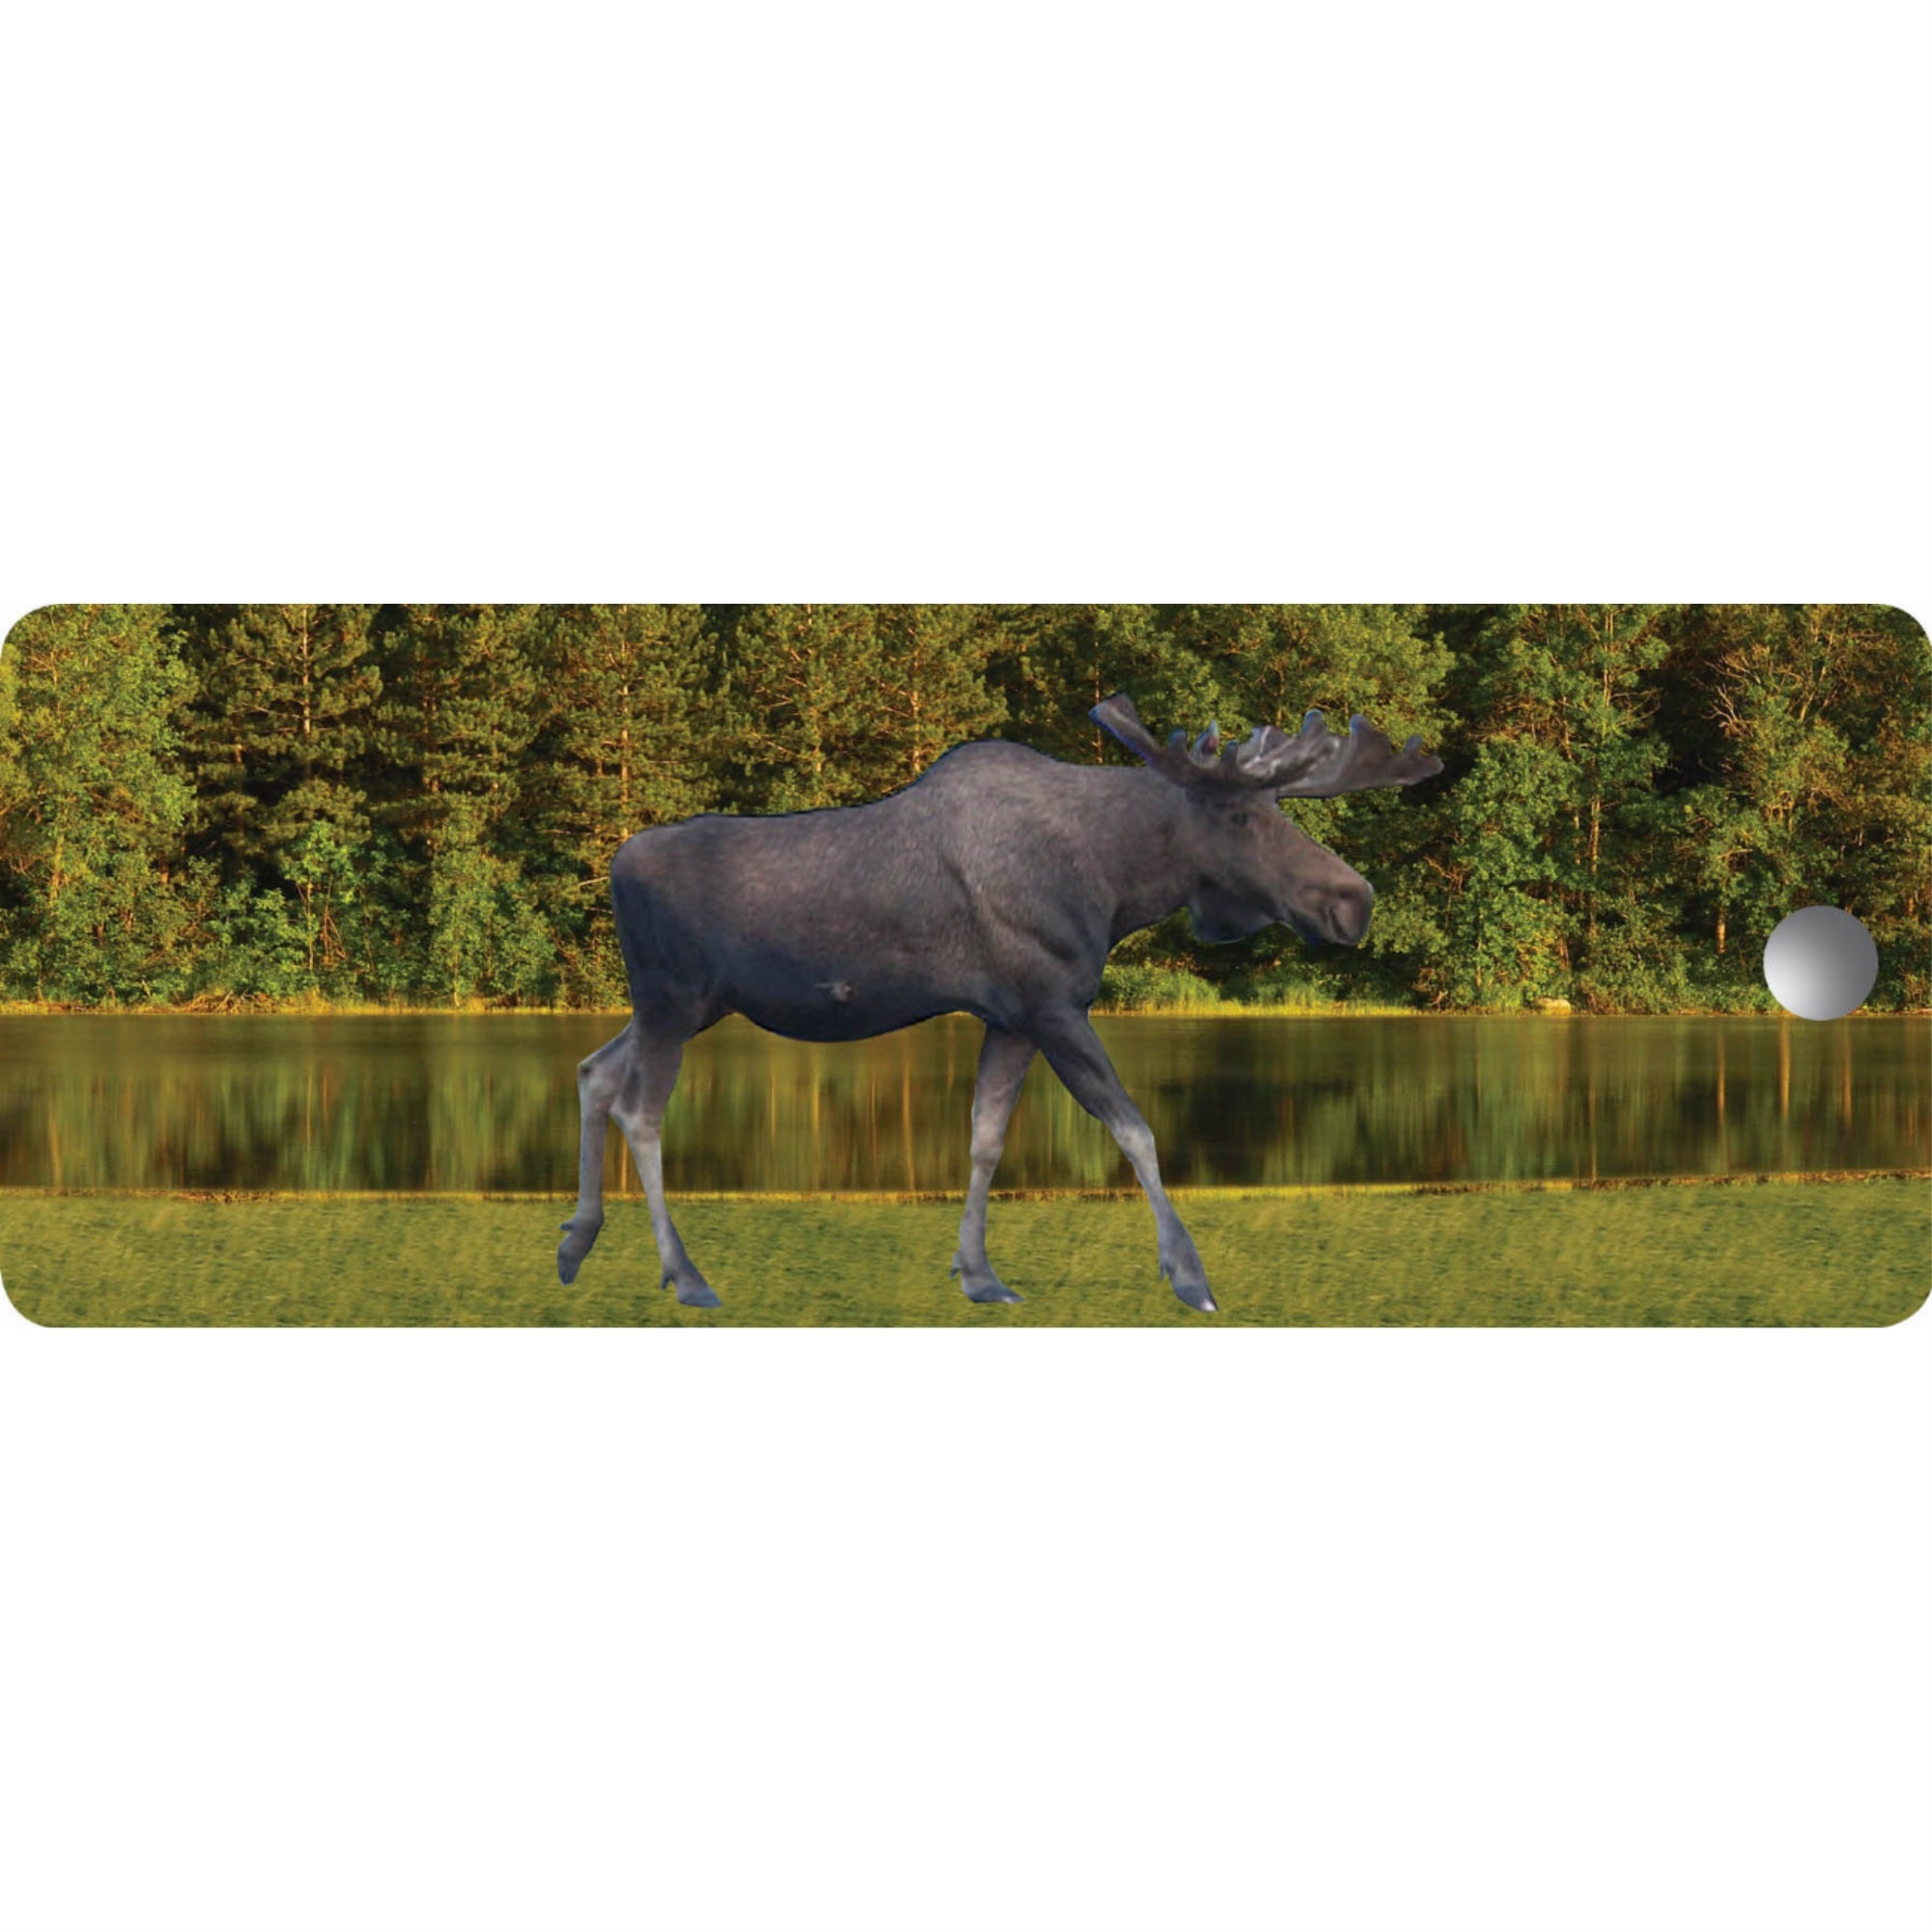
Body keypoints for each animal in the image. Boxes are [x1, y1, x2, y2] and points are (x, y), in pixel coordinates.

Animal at [557, 693, 1442, 1313]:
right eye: (1241, 813)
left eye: (1283, 809)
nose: (1353, 901)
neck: (1117, 881)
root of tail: (616, 865)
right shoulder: (1053, 1003)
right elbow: (1137, 1130)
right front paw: (1190, 1275)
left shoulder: (1009, 1018)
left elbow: (986, 1138)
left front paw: (978, 1273)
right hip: (673, 998)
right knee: (640, 1108)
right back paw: (685, 1275)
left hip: (687, 1004)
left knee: (594, 1070)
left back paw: (576, 1243)